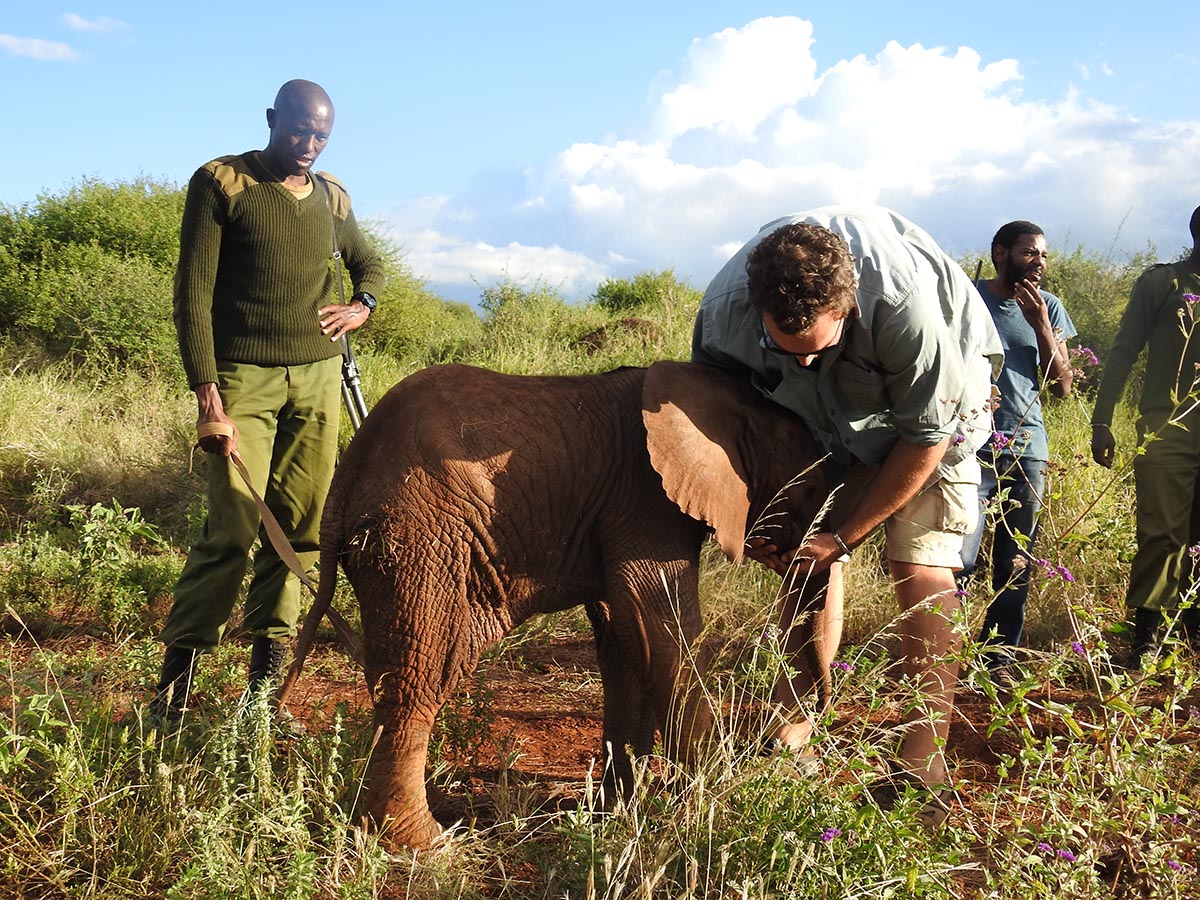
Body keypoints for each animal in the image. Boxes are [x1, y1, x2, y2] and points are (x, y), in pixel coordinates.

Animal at [283, 362, 844, 854]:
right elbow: (664, 625)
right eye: (814, 488)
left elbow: (624, 638)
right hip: (421, 543)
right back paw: (427, 846)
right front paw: (716, 796)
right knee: (420, 677)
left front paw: (616, 812)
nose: (789, 749)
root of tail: (342, 483)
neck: (724, 399)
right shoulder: (645, 502)